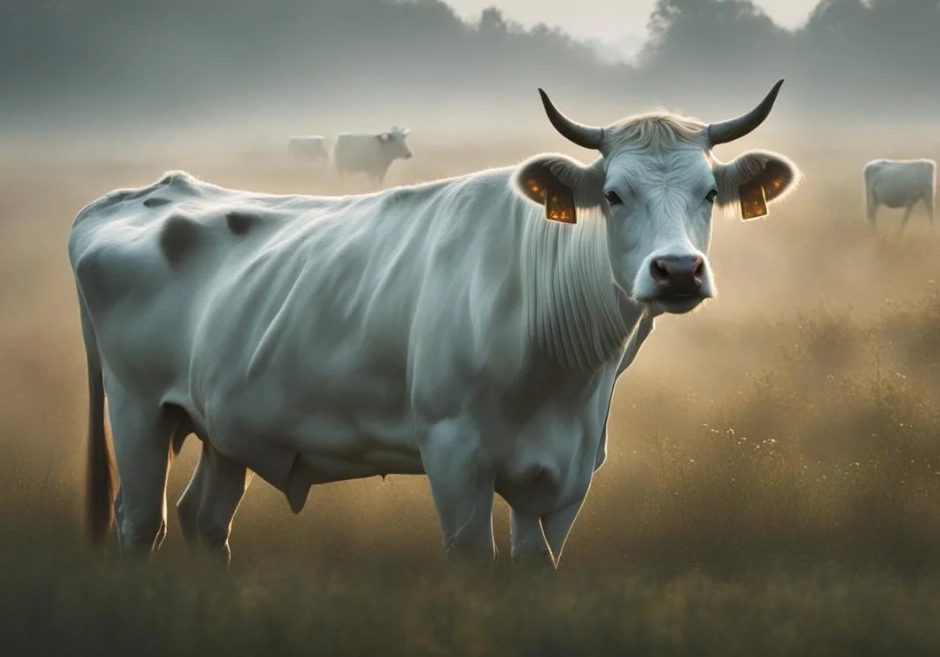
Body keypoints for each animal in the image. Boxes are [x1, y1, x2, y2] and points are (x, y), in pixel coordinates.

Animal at [68, 80, 801, 570]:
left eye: (710, 192)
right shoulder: (454, 456)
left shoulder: (569, 476)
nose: (677, 270)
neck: (564, 373)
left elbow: (536, 564)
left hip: (228, 427)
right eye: (614, 196)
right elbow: (474, 560)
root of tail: (143, 192)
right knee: (141, 524)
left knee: (205, 522)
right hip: (138, 411)